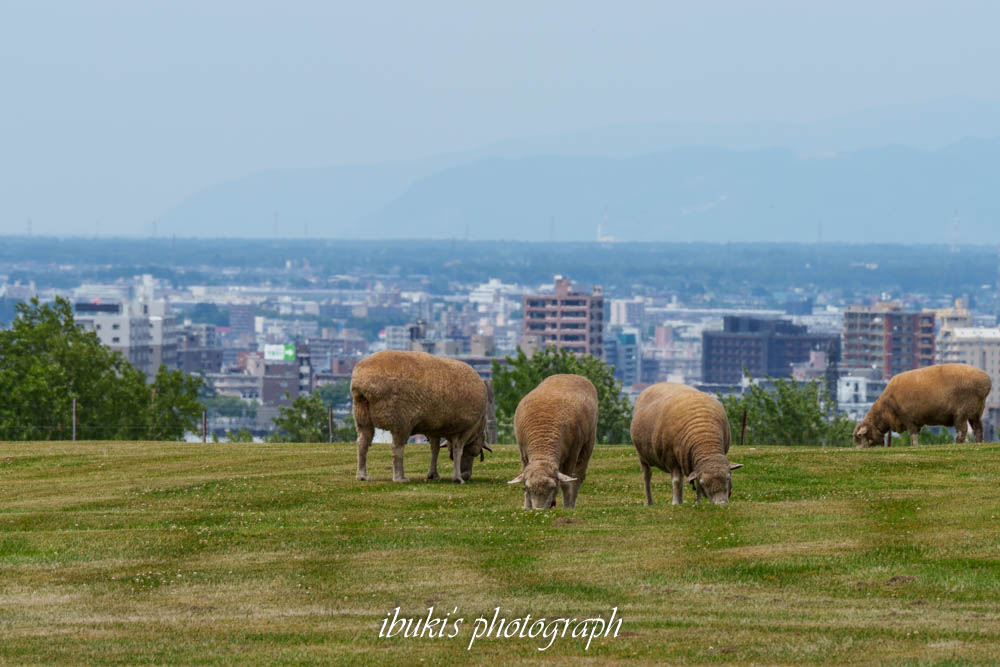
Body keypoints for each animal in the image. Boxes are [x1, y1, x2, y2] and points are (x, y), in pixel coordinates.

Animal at [350, 350, 494, 486]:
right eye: (475, 453)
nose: (466, 475)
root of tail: (362, 383)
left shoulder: (434, 429)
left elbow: (435, 450)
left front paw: (433, 475)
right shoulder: (465, 429)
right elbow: (458, 450)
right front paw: (457, 478)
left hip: (362, 416)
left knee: (362, 443)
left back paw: (362, 476)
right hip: (401, 420)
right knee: (397, 449)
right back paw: (400, 477)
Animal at [508, 376, 592, 512]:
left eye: (553, 487)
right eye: (527, 488)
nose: (539, 510)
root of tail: (567, 374)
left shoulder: (572, 454)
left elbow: (566, 484)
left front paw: (567, 507)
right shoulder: (523, 453)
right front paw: (527, 506)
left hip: (588, 444)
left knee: (578, 477)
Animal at [852, 362, 992, 446]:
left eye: (860, 437)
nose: (861, 450)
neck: (884, 411)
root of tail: (986, 380)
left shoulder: (907, 418)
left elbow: (913, 435)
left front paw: (914, 446)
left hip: (962, 412)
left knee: (962, 431)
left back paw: (957, 444)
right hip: (977, 411)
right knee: (978, 429)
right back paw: (979, 443)